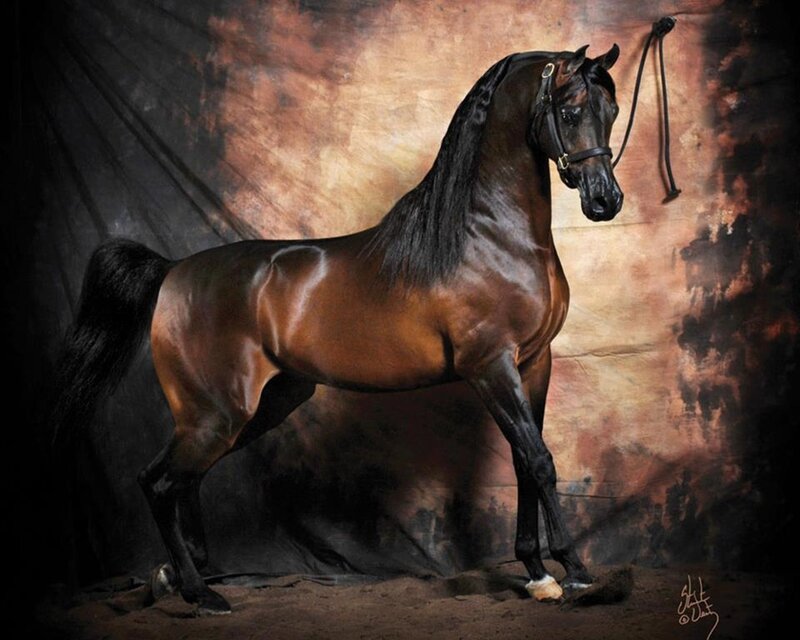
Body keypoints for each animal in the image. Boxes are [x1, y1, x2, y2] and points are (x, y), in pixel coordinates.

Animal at [53, 43, 623, 615]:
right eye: (570, 111)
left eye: (613, 111)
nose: (605, 201)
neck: (487, 237)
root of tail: (172, 270)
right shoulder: (491, 368)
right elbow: (540, 461)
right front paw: (574, 573)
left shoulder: (533, 364)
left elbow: (526, 462)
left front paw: (537, 573)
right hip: (214, 414)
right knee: (159, 483)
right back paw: (199, 592)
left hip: (259, 407)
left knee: (181, 482)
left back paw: (177, 575)